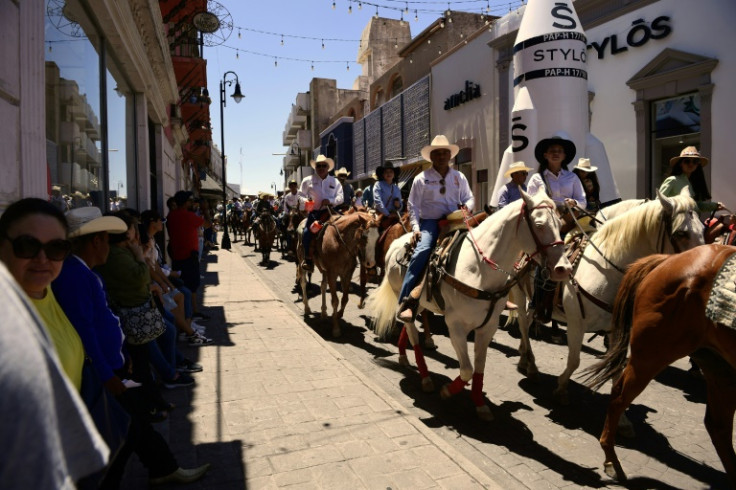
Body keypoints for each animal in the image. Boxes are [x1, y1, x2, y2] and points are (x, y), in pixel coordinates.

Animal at [370, 189, 572, 420]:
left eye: (560, 223)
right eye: (539, 225)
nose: (564, 269)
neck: (478, 269)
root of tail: (395, 243)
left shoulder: (488, 327)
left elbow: (479, 367)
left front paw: (480, 404)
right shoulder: (456, 326)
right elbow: (466, 369)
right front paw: (447, 391)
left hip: (421, 303)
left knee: (410, 320)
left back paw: (405, 356)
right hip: (400, 293)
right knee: (412, 331)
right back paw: (426, 378)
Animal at [508, 189, 704, 404]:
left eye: (703, 229)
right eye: (681, 233)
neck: (606, 269)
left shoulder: (614, 329)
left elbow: (616, 368)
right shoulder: (576, 323)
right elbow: (574, 361)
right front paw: (561, 389)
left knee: (527, 321)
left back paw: (524, 358)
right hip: (519, 293)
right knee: (523, 325)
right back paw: (532, 366)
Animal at [584, 245, 736, 486]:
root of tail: (667, 260)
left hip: (719, 368)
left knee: (718, 427)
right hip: (653, 354)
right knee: (618, 396)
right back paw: (613, 462)